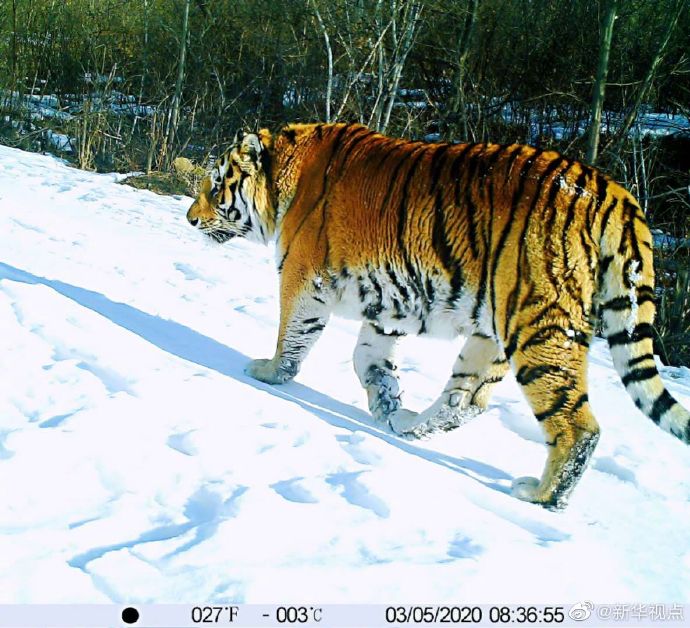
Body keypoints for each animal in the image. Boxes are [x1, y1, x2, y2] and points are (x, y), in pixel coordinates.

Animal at [186, 122, 690, 510]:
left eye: (214, 184)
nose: (190, 218)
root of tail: (617, 194)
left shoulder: (303, 277)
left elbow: (292, 335)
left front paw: (268, 372)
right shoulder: (387, 302)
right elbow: (368, 360)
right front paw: (386, 405)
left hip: (539, 327)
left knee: (576, 426)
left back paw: (541, 496)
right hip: (492, 330)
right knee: (466, 400)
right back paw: (408, 427)